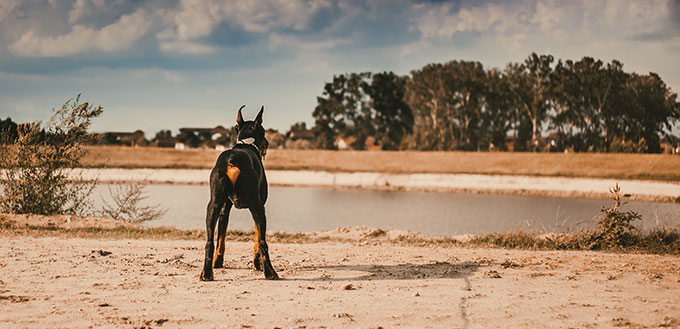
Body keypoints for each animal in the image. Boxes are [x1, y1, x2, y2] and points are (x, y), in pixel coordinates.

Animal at [201, 104, 278, 280]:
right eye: (264, 131)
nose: (267, 143)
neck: (246, 143)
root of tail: (232, 160)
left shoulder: (224, 209)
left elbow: (221, 238)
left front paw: (218, 262)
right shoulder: (258, 206)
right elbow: (257, 239)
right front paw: (257, 265)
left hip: (213, 206)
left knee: (210, 241)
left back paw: (206, 273)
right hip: (258, 207)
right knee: (262, 242)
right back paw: (270, 272)